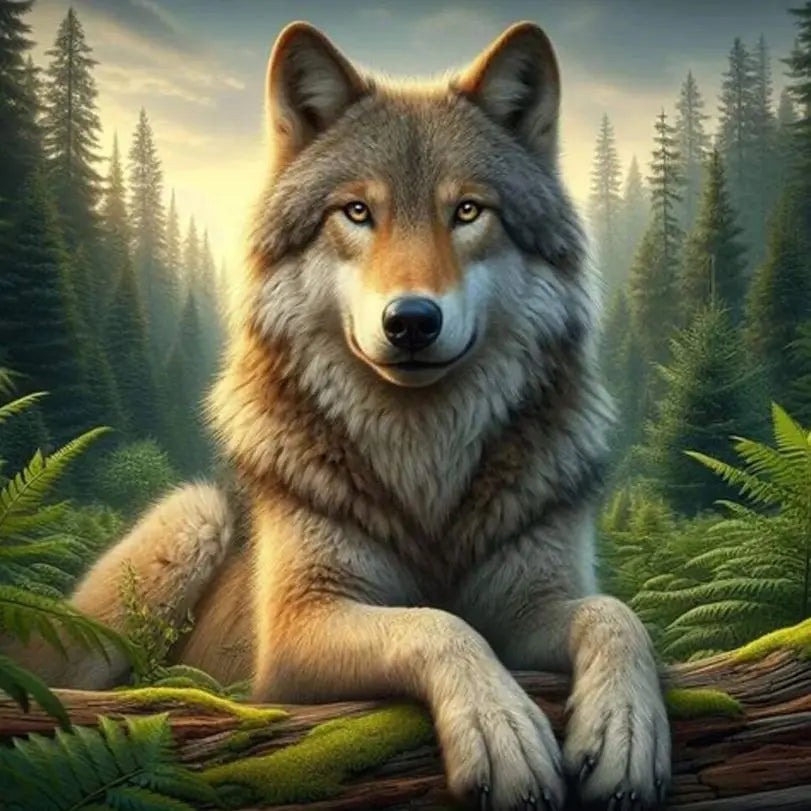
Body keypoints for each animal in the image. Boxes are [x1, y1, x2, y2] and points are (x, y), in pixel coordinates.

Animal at [17, 20, 671, 811]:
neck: (423, 462)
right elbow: (439, 624)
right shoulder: (295, 637)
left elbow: (616, 615)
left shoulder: (536, 603)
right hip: (190, 519)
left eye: (467, 211)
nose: (412, 320)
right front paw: (502, 731)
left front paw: (627, 730)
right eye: (358, 212)